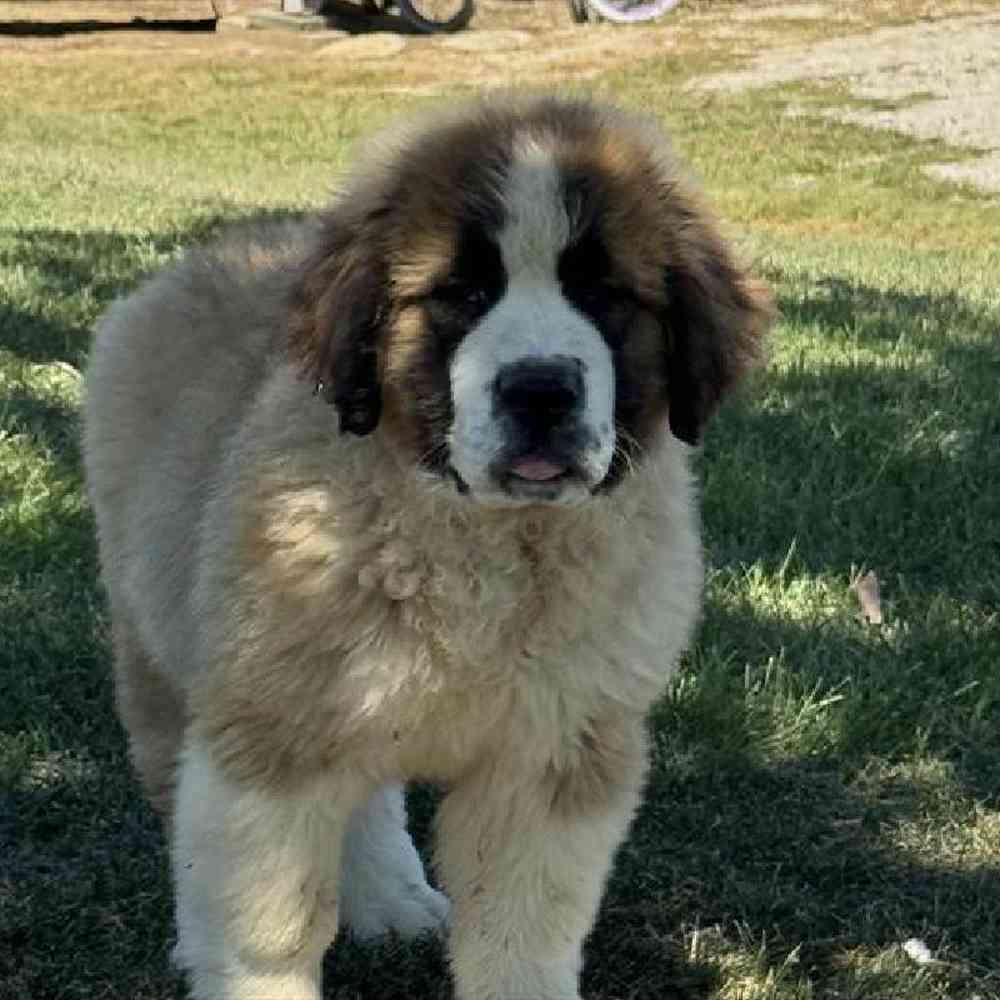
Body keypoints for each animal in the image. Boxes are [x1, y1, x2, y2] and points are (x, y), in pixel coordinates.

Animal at [86, 95, 772, 1000]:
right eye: (463, 293)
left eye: (603, 295)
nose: (540, 389)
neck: (482, 540)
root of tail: (211, 253)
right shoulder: (270, 735)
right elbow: (269, 927)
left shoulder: (553, 758)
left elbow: (522, 937)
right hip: (163, 645)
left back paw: (391, 897)